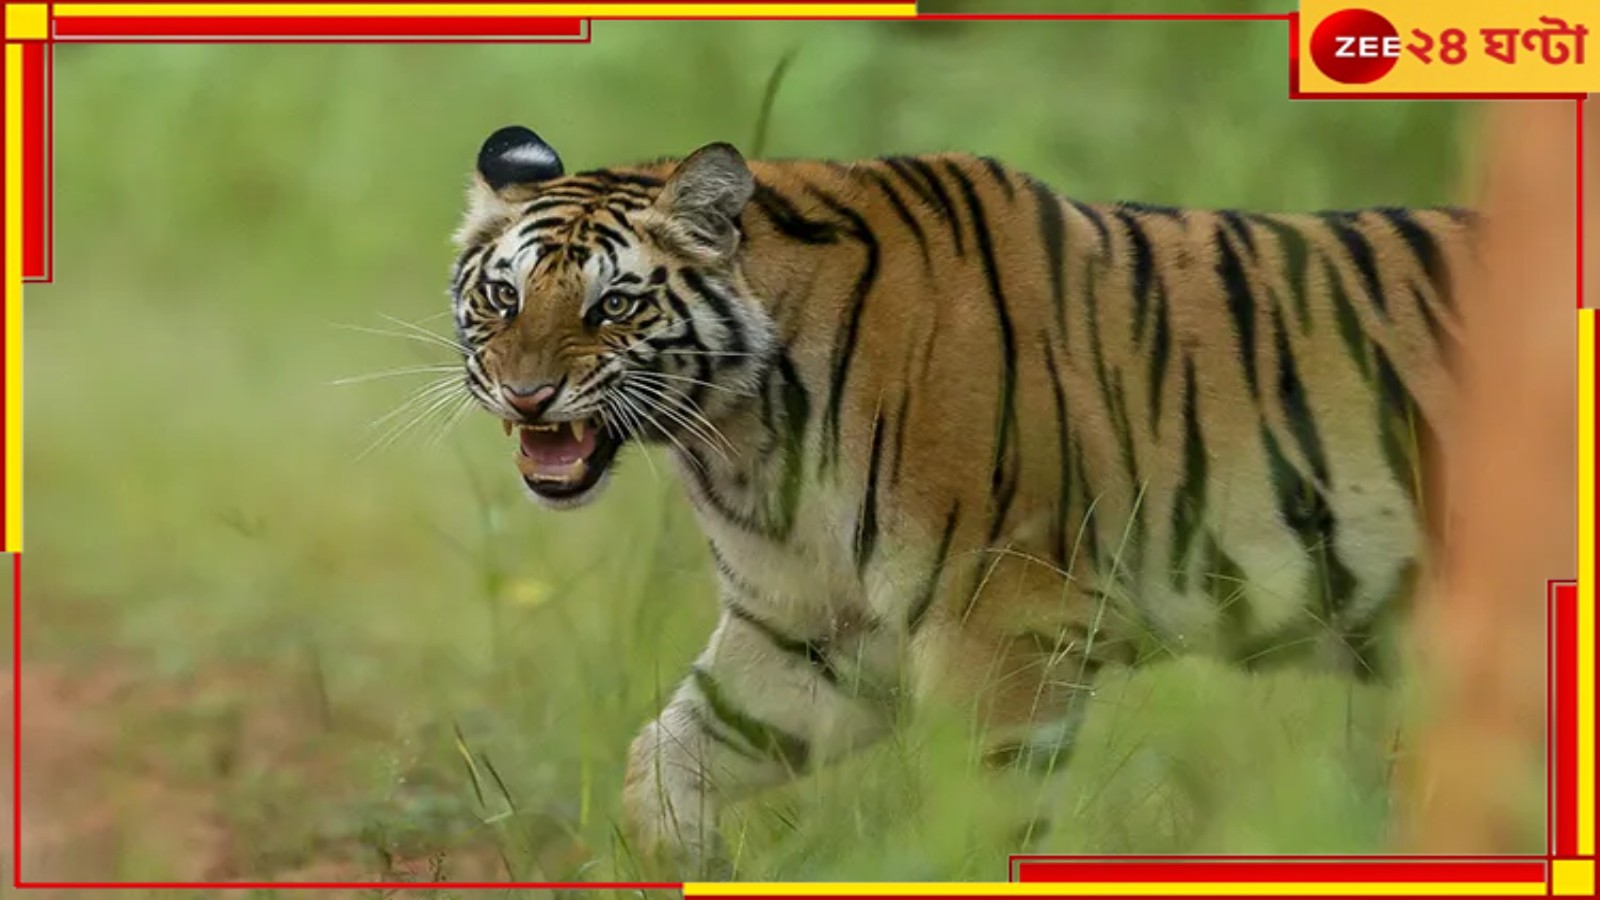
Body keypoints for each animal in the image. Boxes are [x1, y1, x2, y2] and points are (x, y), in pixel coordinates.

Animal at [447, 125, 1471, 873]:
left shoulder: (1000, 621)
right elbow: (668, 755)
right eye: (503, 298)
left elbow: (985, 818)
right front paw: (684, 865)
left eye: (612, 306)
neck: (741, 436)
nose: (526, 395)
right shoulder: (812, 632)